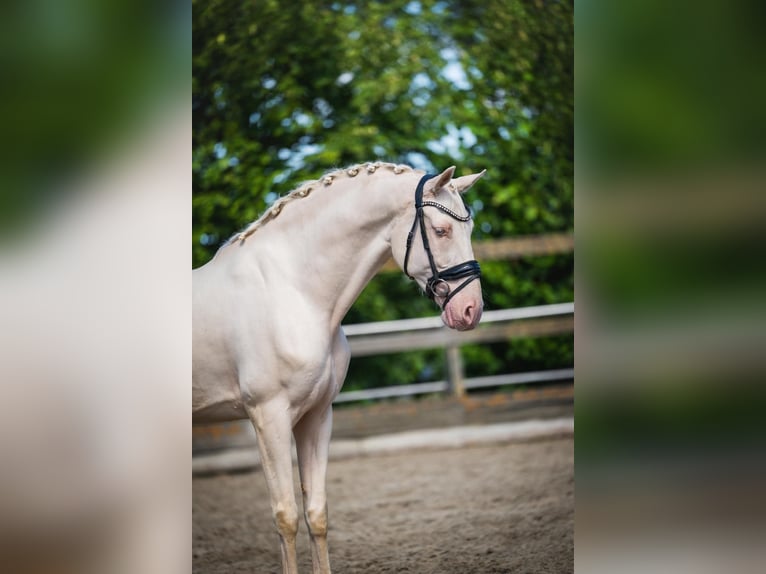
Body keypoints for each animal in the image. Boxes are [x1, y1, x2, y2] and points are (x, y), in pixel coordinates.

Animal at [193, 162, 485, 574]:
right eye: (442, 230)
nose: (470, 309)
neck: (293, 290)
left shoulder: (316, 415)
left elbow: (316, 512)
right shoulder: (268, 418)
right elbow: (286, 516)